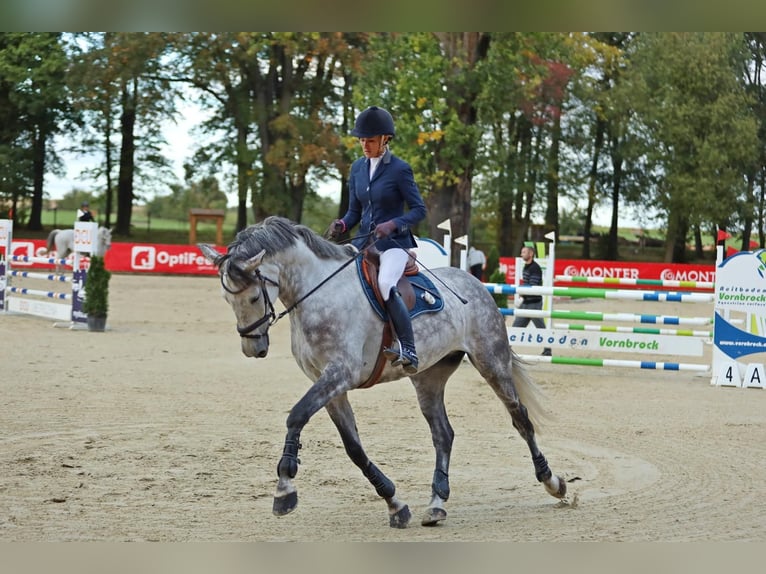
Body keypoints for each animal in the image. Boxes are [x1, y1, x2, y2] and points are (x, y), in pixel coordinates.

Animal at [201, 217, 568, 532]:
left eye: (252, 296)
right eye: (226, 299)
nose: (253, 348)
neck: (319, 294)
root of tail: (473, 282)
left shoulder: (340, 374)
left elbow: (296, 416)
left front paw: (285, 489)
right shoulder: (329, 384)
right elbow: (353, 447)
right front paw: (395, 503)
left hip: (491, 360)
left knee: (520, 418)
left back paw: (554, 483)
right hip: (428, 376)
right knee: (443, 434)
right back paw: (437, 503)